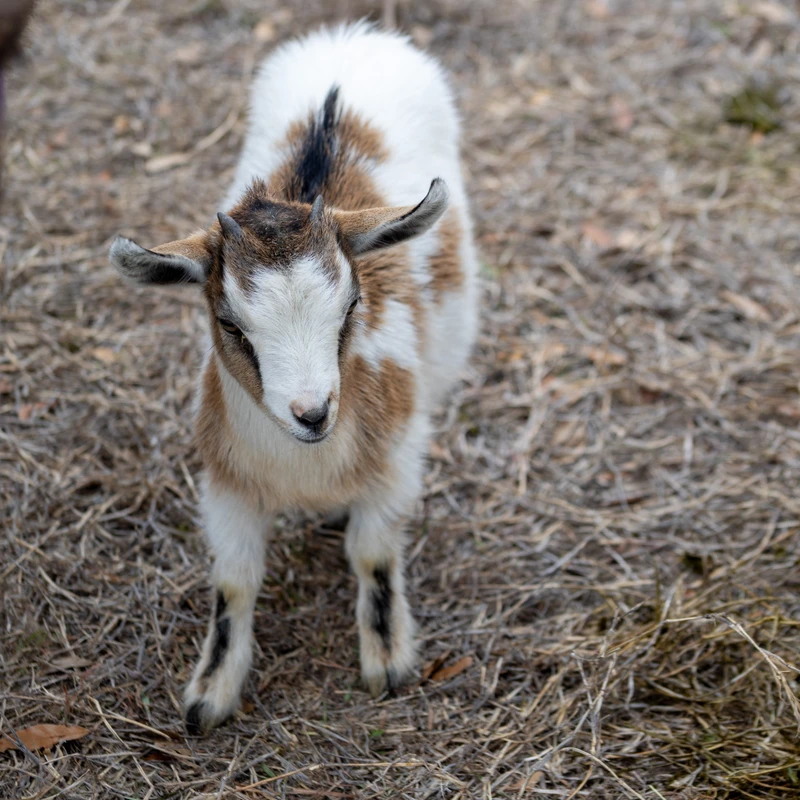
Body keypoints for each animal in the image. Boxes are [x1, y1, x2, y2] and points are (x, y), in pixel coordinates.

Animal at [110, 22, 478, 734]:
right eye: (230, 323)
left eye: (353, 304)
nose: (312, 413)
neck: (303, 463)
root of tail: (354, 38)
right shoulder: (225, 483)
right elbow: (233, 581)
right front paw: (210, 694)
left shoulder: (397, 461)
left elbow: (374, 554)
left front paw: (387, 660)